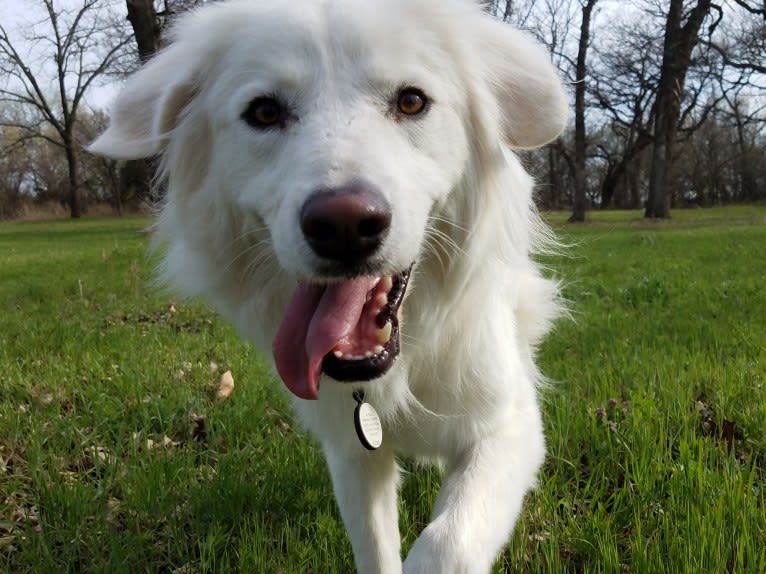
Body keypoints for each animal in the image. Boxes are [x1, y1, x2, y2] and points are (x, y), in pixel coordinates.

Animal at [91, 2, 568, 572]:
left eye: (412, 101)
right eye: (264, 112)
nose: (344, 225)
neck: (398, 366)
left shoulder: (507, 427)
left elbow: (446, 543)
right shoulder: (351, 452)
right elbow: (376, 550)